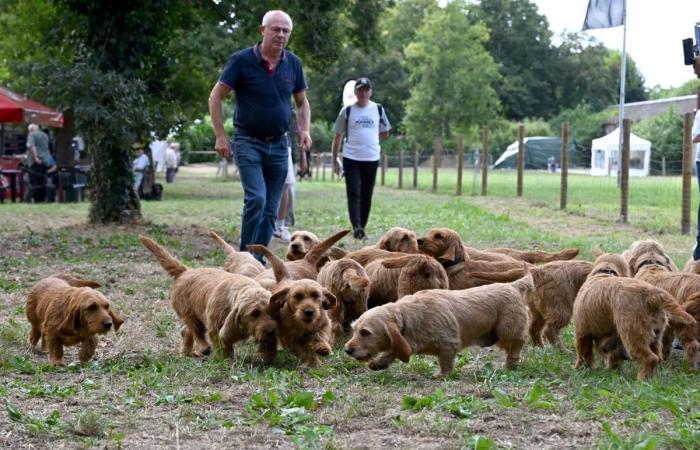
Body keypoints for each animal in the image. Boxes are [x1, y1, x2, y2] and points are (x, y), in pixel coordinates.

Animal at [138, 234, 278, 360]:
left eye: (272, 312)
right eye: (255, 313)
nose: (271, 331)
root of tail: (186, 271)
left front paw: (268, 355)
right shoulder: (215, 328)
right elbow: (223, 344)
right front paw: (227, 359)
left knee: (186, 330)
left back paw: (186, 353)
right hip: (190, 314)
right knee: (196, 331)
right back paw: (204, 348)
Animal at [344, 268, 532, 378]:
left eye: (365, 332)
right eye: (354, 330)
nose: (347, 350)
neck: (408, 316)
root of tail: (513, 286)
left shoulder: (448, 344)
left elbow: (445, 362)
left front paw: (442, 375)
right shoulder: (406, 342)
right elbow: (393, 351)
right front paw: (379, 363)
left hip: (507, 330)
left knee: (519, 341)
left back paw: (511, 362)